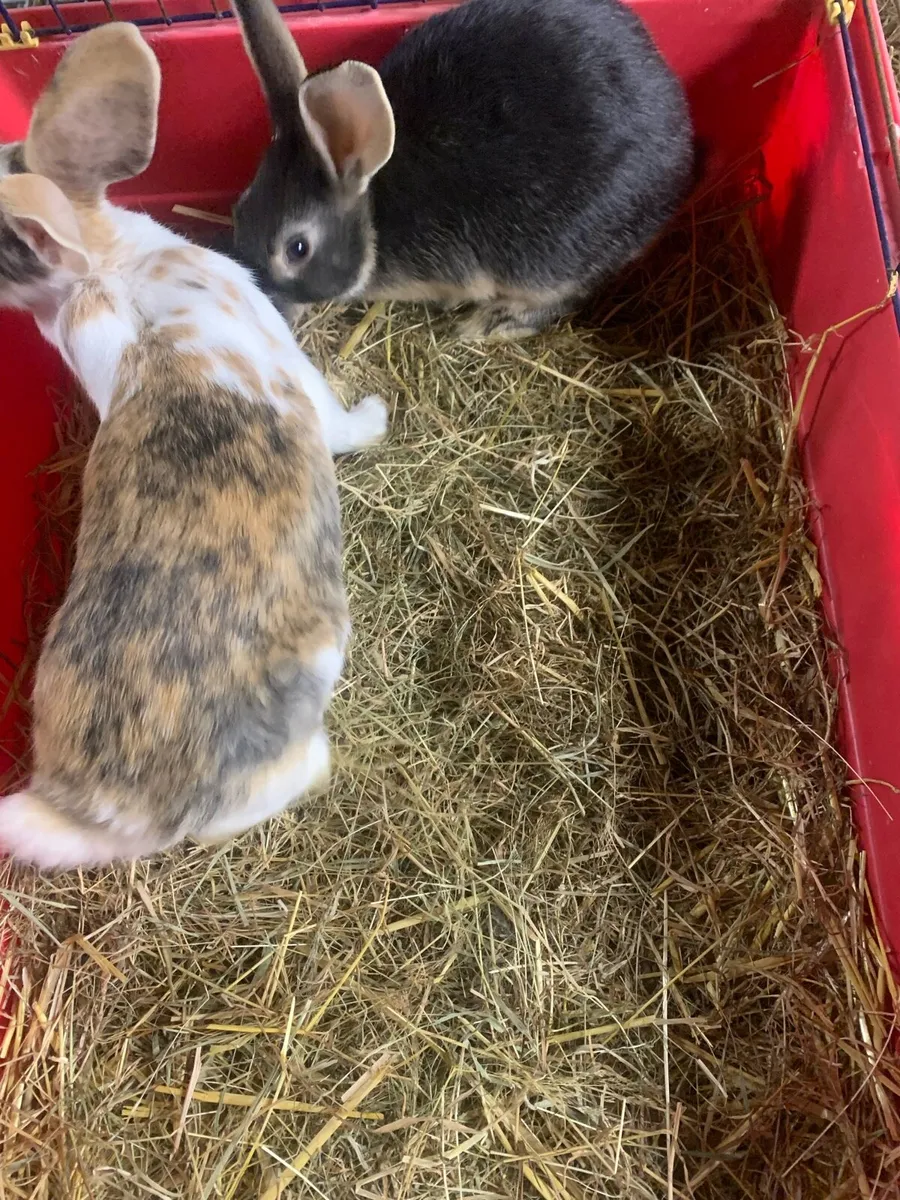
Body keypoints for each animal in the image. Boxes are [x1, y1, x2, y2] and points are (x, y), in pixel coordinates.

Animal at [229, 0, 694, 341]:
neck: (373, 209)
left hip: (548, 258)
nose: (263, 308)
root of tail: (682, 157)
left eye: (297, 249)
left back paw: (491, 323)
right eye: (239, 211)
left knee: (568, 295)